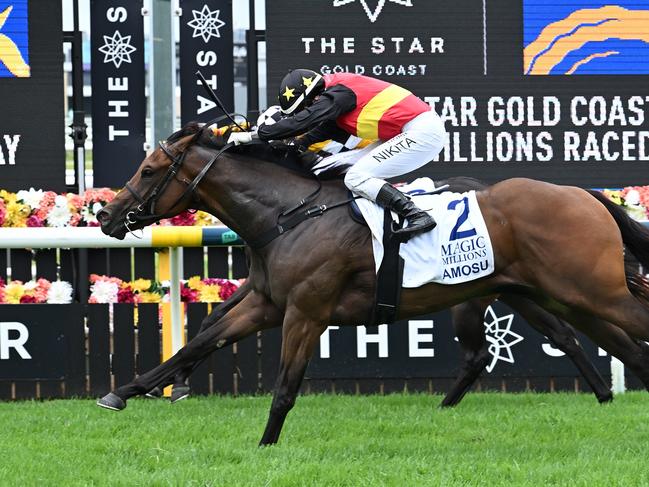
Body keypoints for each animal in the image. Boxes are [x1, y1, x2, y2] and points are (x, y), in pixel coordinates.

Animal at [96, 125, 648, 446]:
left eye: (148, 170)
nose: (105, 214)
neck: (288, 215)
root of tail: (583, 193)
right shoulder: (266, 304)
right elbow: (199, 342)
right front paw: (124, 391)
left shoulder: (306, 313)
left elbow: (285, 386)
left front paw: (266, 446)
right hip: (560, 296)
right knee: (614, 346)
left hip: (590, 292)